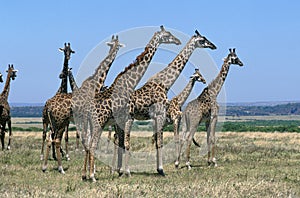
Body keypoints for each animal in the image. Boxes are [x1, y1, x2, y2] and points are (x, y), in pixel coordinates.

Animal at [41, 34, 123, 174]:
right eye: (115, 44)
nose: (117, 49)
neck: (96, 84)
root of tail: (48, 106)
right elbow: (89, 141)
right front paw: (92, 170)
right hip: (59, 122)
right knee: (55, 139)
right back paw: (60, 168)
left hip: (54, 122)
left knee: (49, 138)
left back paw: (46, 166)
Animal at [79, 25, 182, 182]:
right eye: (167, 35)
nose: (178, 41)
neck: (128, 83)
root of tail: (88, 109)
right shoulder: (128, 117)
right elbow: (127, 143)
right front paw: (126, 172)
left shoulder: (122, 120)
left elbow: (123, 143)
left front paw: (121, 171)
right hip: (98, 123)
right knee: (92, 145)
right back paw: (92, 176)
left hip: (91, 124)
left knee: (88, 144)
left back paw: (86, 175)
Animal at [118, 29, 216, 176]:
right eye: (203, 39)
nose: (213, 46)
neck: (164, 83)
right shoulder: (161, 115)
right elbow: (161, 142)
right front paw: (162, 169)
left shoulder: (160, 117)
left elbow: (160, 141)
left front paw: (160, 168)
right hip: (127, 118)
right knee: (124, 141)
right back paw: (126, 171)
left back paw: (118, 171)